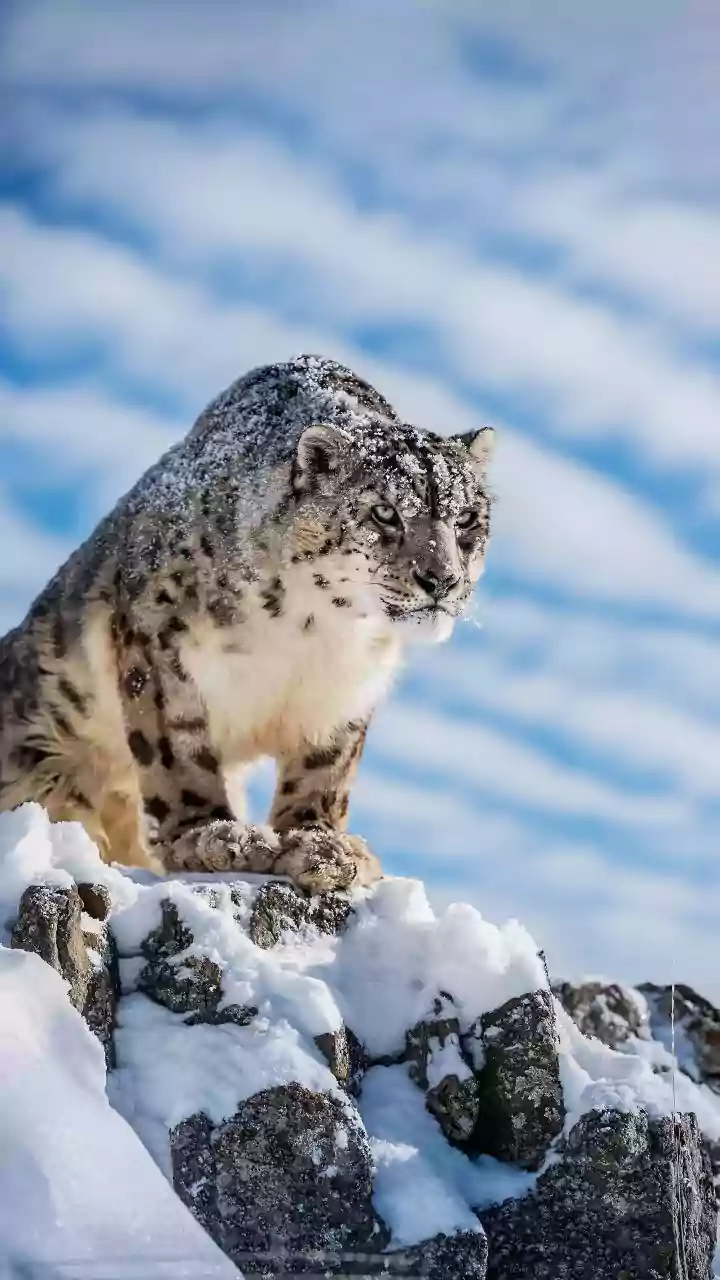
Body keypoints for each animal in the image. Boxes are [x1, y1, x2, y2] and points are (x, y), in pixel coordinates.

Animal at [0, 356, 493, 894]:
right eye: (384, 512)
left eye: (467, 519)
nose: (442, 579)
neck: (312, 630)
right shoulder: (158, 638)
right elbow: (178, 747)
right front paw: (212, 836)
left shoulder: (347, 688)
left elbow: (326, 767)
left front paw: (322, 845)